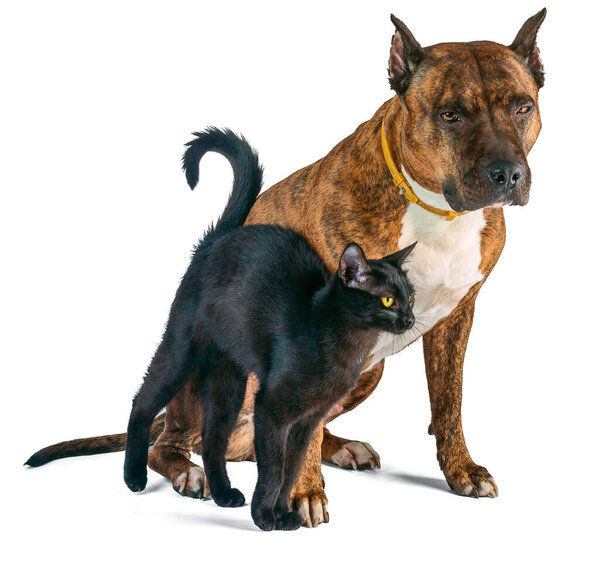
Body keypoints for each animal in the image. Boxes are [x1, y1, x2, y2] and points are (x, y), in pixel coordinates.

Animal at [123, 126, 414, 532]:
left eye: (410, 297)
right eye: (387, 300)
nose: (409, 319)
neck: (341, 342)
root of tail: (219, 238)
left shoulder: (308, 418)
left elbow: (291, 468)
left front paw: (283, 514)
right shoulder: (272, 408)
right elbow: (275, 467)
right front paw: (266, 518)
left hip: (228, 380)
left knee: (213, 440)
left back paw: (226, 495)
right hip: (182, 349)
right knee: (144, 402)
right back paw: (135, 477)